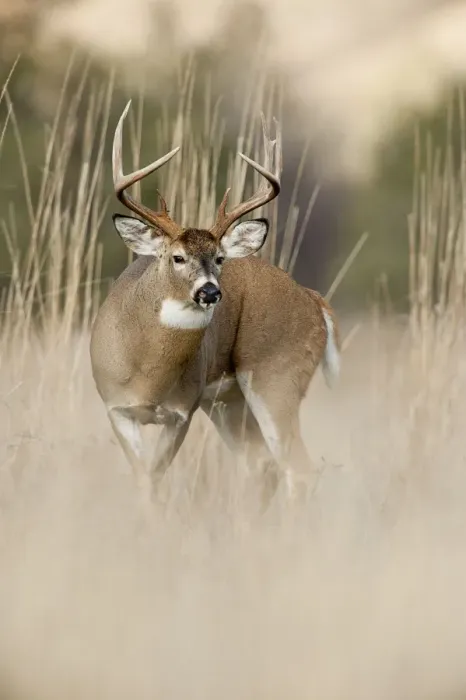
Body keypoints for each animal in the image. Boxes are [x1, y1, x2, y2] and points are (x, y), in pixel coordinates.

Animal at [90, 101, 340, 510]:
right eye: (176, 257)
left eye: (220, 258)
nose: (210, 292)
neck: (147, 373)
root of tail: (313, 299)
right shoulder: (115, 406)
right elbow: (143, 482)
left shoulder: (182, 410)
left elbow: (153, 481)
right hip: (230, 402)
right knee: (261, 464)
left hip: (277, 376)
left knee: (298, 467)